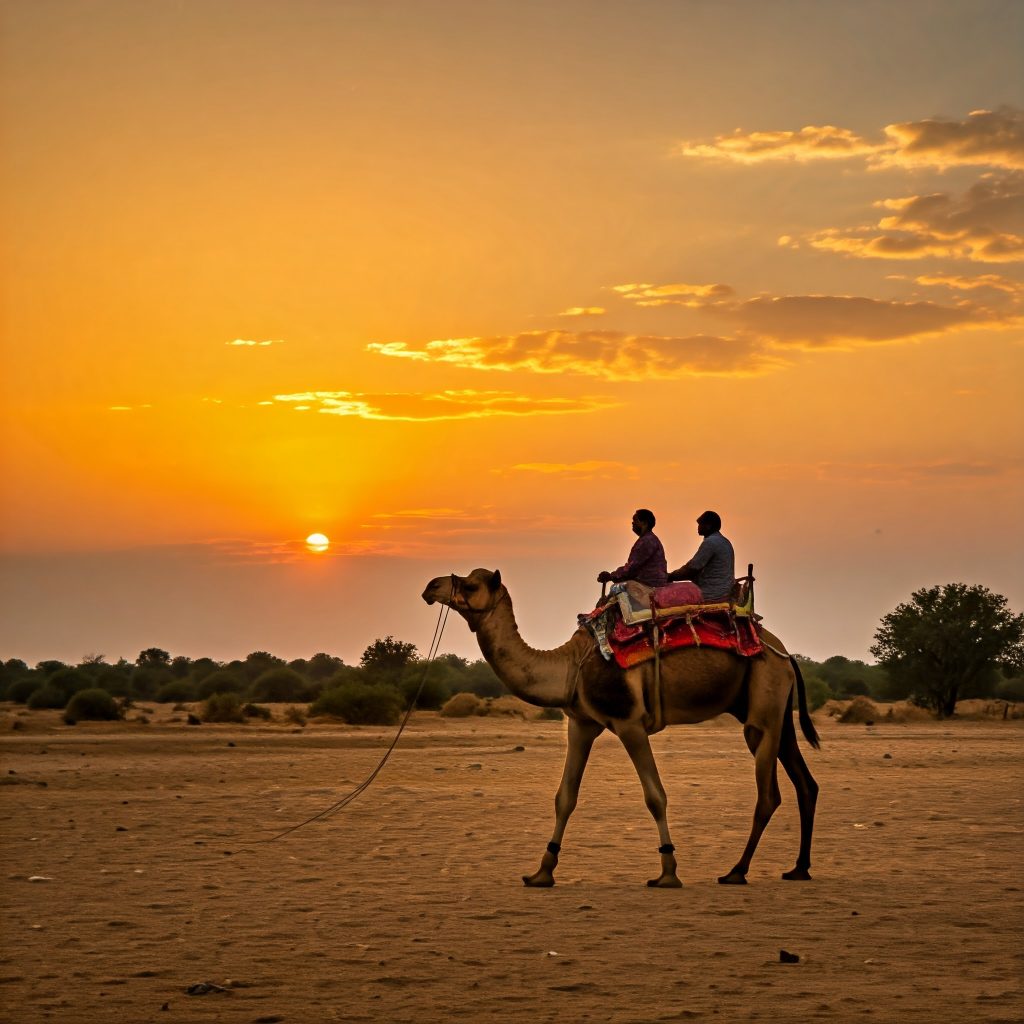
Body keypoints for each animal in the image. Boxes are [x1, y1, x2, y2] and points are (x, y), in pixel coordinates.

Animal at [419, 569, 819, 888]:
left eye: (470, 585)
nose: (431, 586)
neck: (571, 665)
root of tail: (786, 654)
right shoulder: (581, 723)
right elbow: (564, 797)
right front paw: (541, 873)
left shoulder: (629, 722)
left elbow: (655, 796)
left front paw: (668, 873)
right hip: (774, 711)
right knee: (806, 783)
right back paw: (798, 869)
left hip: (763, 706)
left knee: (769, 794)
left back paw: (736, 871)